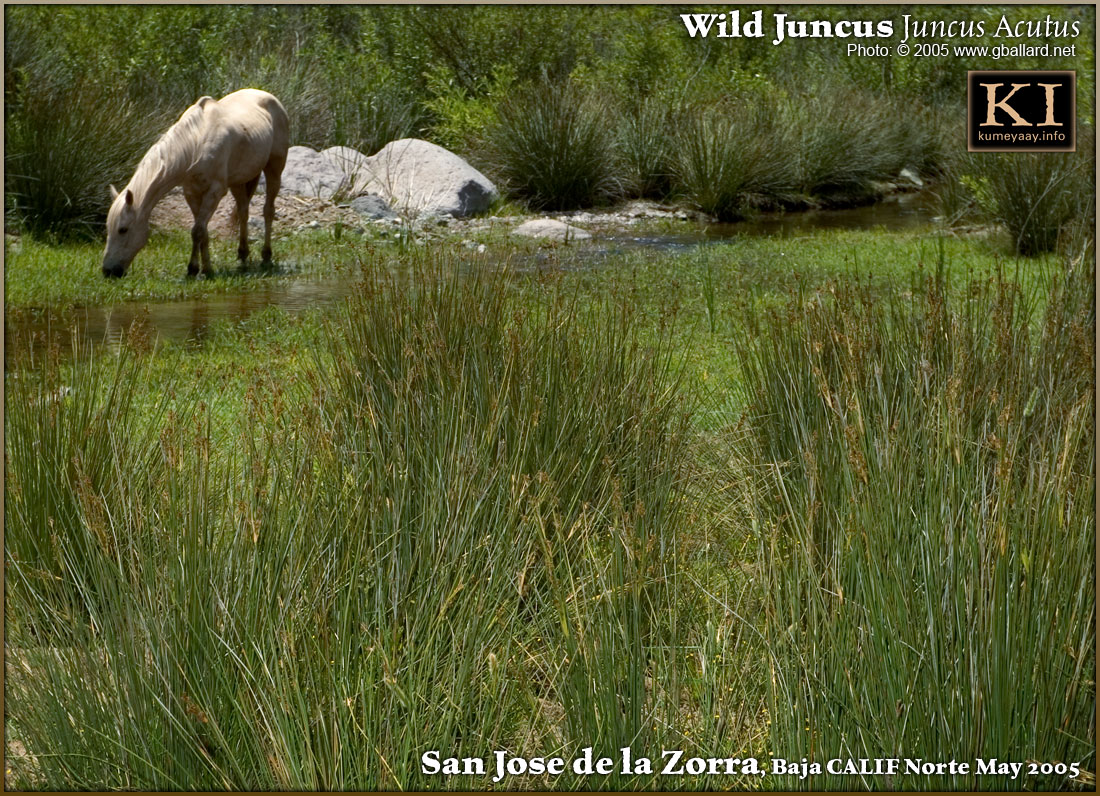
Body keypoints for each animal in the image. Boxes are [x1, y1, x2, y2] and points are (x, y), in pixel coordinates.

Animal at [102, 87, 290, 277]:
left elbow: (198, 231)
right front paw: (200, 268)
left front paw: (199, 269)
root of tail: (266, 95)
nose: (108, 271)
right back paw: (243, 254)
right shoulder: (191, 192)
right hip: (238, 181)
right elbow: (201, 231)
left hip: (275, 167)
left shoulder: (214, 192)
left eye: (123, 229)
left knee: (268, 211)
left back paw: (266, 256)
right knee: (243, 212)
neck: (196, 143)